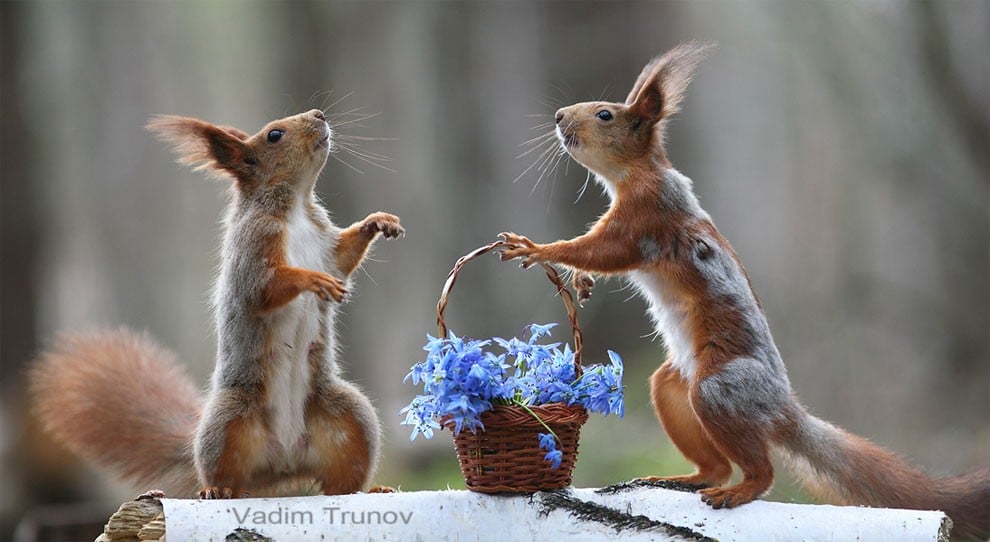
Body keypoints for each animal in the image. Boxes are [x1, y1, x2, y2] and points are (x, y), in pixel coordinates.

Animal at [31, 108, 404, 500]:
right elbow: (264, 287)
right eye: (274, 135)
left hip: (352, 418)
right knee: (227, 475)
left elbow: (344, 256)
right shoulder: (252, 248)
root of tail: (284, 464)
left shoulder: (326, 246)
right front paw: (313, 280)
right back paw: (216, 490)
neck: (297, 209)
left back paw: (371, 490)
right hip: (227, 422)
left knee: (342, 482)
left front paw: (379, 221)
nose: (318, 114)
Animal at [504, 41, 990, 540]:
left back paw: (736, 492)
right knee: (713, 464)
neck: (635, 172)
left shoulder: (644, 216)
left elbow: (601, 250)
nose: (559, 116)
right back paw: (682, 479)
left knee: (761, 473)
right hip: (675, 390)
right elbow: (596, 261)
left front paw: (537, 249)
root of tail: (781, 408)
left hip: (719, 389)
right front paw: (577, 280)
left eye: (605, 114)